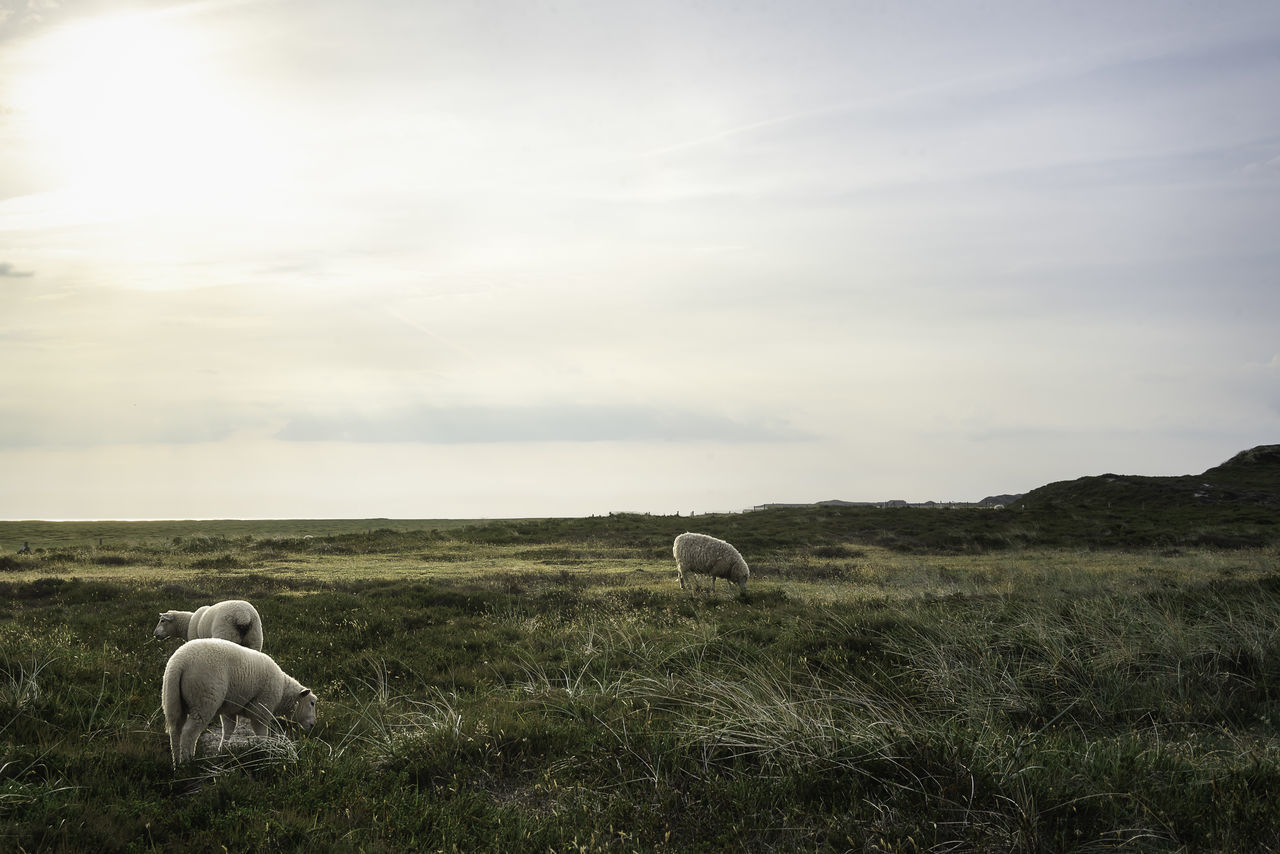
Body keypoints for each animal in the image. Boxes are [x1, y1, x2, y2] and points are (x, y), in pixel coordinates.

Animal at [162, 637, 317, 763]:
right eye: (312, 703)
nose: (313, 725)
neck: (283, 694)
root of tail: (179, 663)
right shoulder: (261, 711)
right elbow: (262, 734)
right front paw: (265, 752)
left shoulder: (229, 709)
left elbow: (228, 729)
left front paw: (222, 751)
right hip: (203, 699)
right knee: (189, 732)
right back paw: (187, 761)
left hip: (174, 700)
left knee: (175, 731)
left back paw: (177, 762)